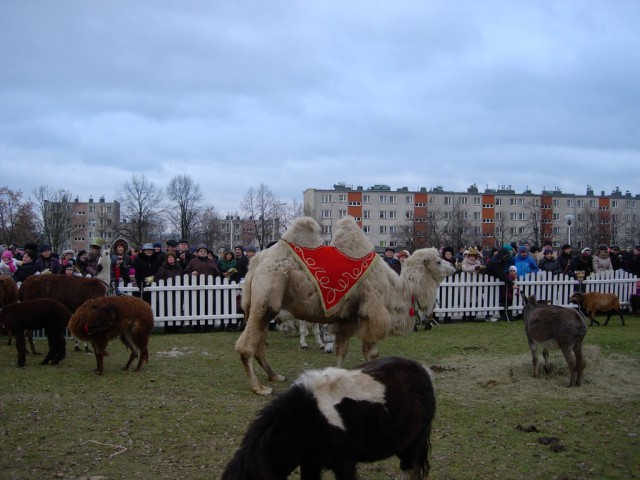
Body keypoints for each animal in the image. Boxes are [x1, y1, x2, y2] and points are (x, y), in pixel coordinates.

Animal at [222, 356, 438, 480]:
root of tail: (421, 371)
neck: (309, 419)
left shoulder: (344, 464)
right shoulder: (310, 464)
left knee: (411, 471)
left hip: (411, 448)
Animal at [235, 217, 456, 394]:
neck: (395, 288)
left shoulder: (346, 319)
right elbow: (372, 353)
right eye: (438, 261)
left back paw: (275, 376)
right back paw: (259, 387)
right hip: (269, 289)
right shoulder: (371, 312)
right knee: (246, 345)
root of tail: (256, 262)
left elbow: (341, 350)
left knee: (259, 344)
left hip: (258, 300)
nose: (453, 268)